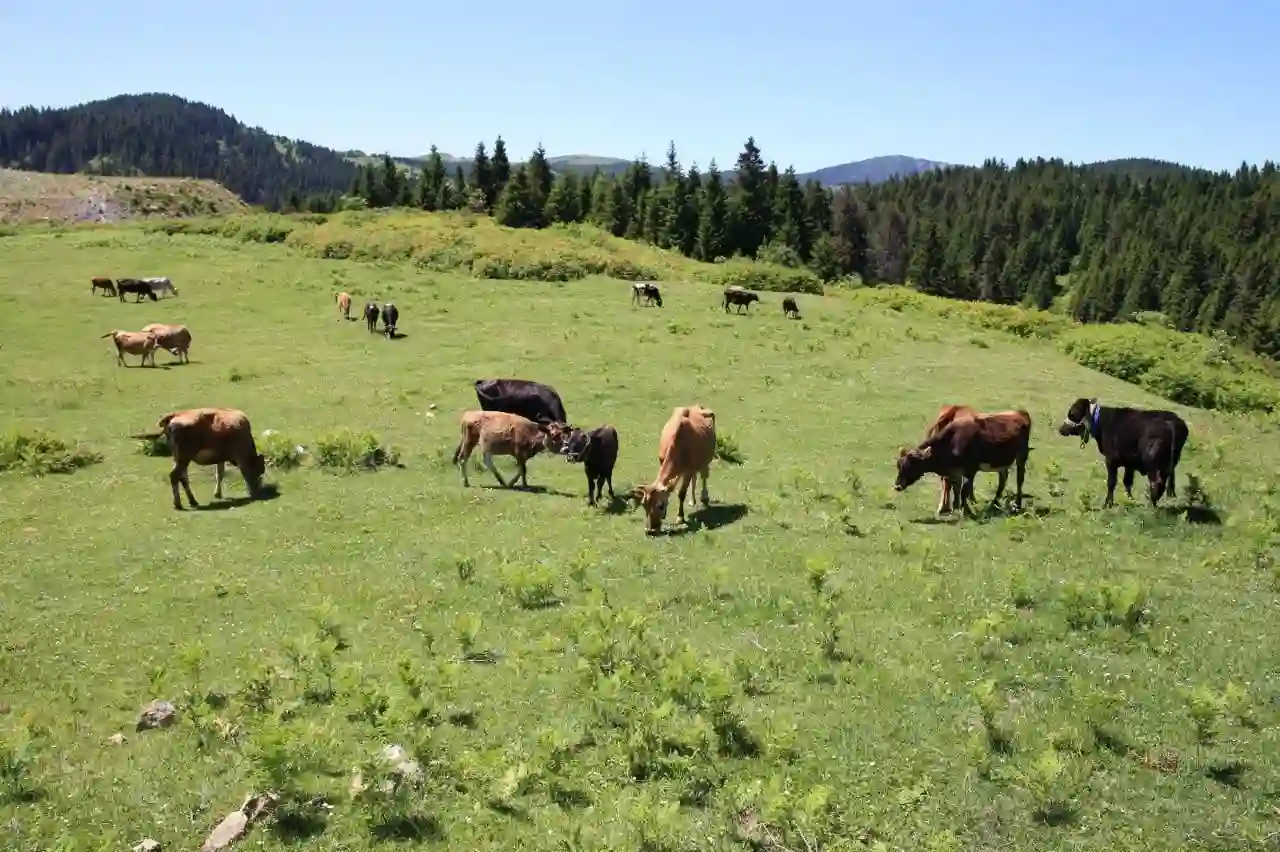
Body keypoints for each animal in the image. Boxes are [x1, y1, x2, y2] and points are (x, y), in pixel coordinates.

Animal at [132, 406, 267, 506]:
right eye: (260, 471)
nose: (260, 488)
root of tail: (174, 415)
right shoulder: (240, 455)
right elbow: (245, 473)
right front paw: (252, 492)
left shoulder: (221, 458)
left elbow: (220, 474)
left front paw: (218, 494)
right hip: (184, 458)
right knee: (174, 476)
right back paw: (178, 504)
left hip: (179, 458)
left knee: (183, 477)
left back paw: (193, 501)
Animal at [632, 404, 721, 532]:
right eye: (644, 504)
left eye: (661, 506)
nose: (651, 530)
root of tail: (697, 406)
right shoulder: (665, 462)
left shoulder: (688, 469)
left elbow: (681, 493)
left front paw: (680, 517)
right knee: (695, 478)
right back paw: (692, 500)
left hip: (706, 459)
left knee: (704, 475)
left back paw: (704, 497)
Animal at [896, 409, 1034, 514]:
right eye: (898, 466)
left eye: (909, 465)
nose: (897, 486)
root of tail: (1020, 412)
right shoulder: (955, 471)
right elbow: (956, 488)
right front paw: (957, 508)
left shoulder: (971, 470)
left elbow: (964, 490)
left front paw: (966, 511)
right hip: (1001, 461)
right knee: (1002, 479)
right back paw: (994, 503)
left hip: (1022, 456)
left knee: (1019, 479)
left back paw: (1017, 505)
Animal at [1059, 396, 1187, 506]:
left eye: (1073, 412)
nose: (1061, 429)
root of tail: (1172, 422)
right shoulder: (1129, 463)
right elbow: (1128, 481)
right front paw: (1129, 501)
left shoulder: (1111, 460)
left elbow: (1111, 482)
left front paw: (1108, 503)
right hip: (1169, 465)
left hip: (1151, 463)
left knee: (1156, 483)